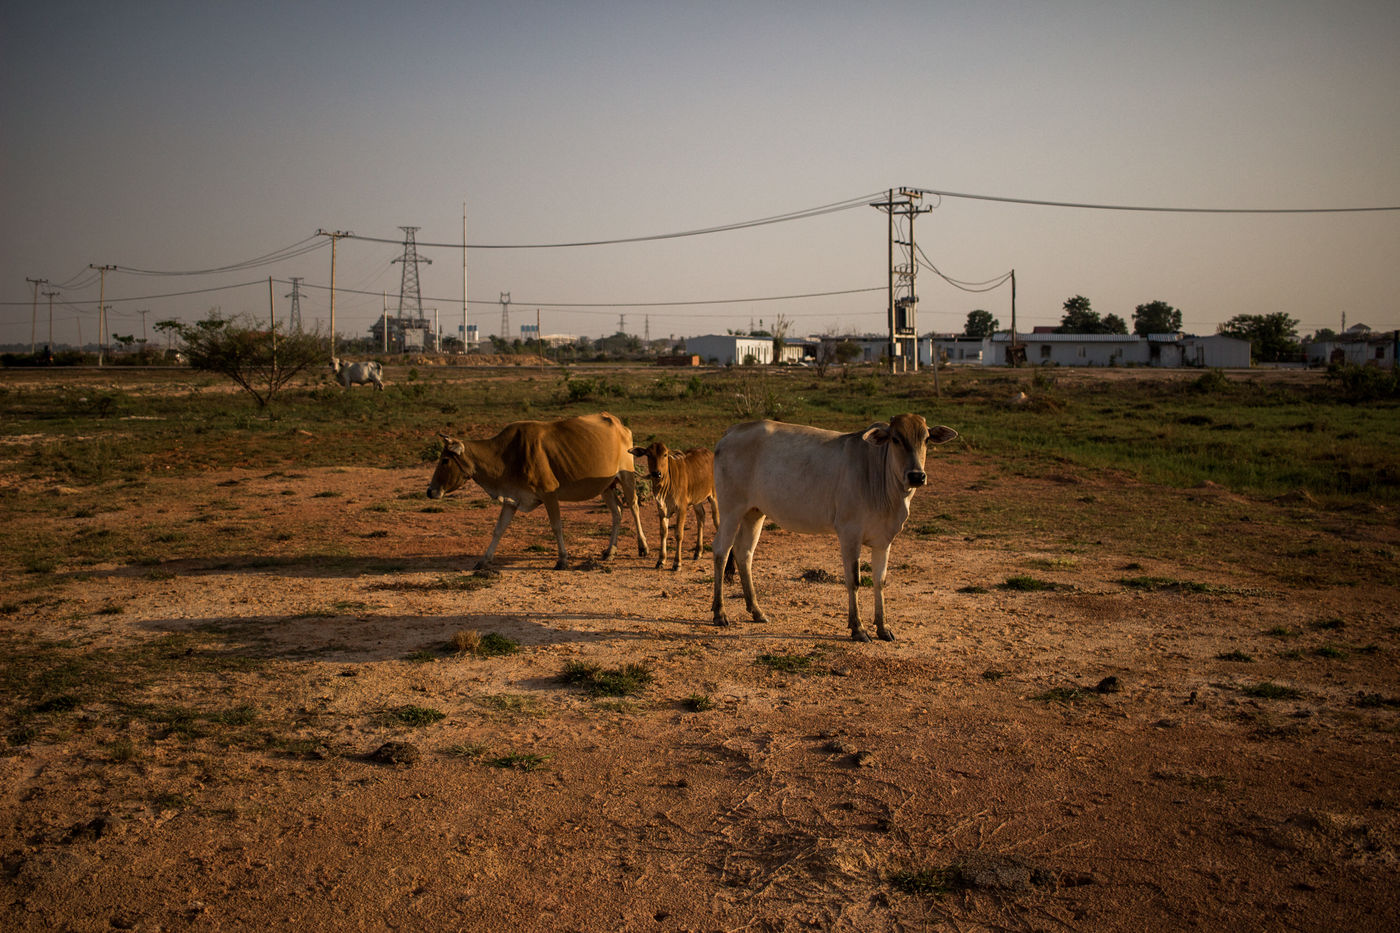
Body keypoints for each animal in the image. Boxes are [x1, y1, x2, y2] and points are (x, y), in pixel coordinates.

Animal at [426, 412, 649, 571]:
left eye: (445, 460)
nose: (430, 491)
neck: (506, 455)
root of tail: (619, 424)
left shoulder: (549, 493)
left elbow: (556, 526)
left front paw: (562, 560)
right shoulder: (512, 498)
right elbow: (498, 529)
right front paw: (483, 560)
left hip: (626, 476)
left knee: (634, 506)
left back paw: (642, 546)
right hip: (606, 486)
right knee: (617, 512)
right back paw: (610, 551)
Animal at [629, 441, 717, 571]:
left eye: (665, 454)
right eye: (648, 454)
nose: (656, 473)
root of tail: (710, 453)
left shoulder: (682, 508)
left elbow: (678, 534)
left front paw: (677, 563)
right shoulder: (662, 509)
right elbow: (663, 532)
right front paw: (661, 560)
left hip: (714, 495)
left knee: (717, 520)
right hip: (697, 500)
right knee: (701, 517)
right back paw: (698, 552)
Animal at [710, 414, 958, 642]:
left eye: (926, 439)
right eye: (896, 439)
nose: (917, 476)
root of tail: (732, 431)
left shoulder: (884, 539)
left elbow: (880, 581)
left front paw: (883, 627)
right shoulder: (849, 533)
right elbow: (854, 580)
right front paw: (858, 628)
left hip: (754, 512)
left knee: (744, 553)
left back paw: (757, 611)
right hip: (731, 508)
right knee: (721, 551)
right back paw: (720, 613)